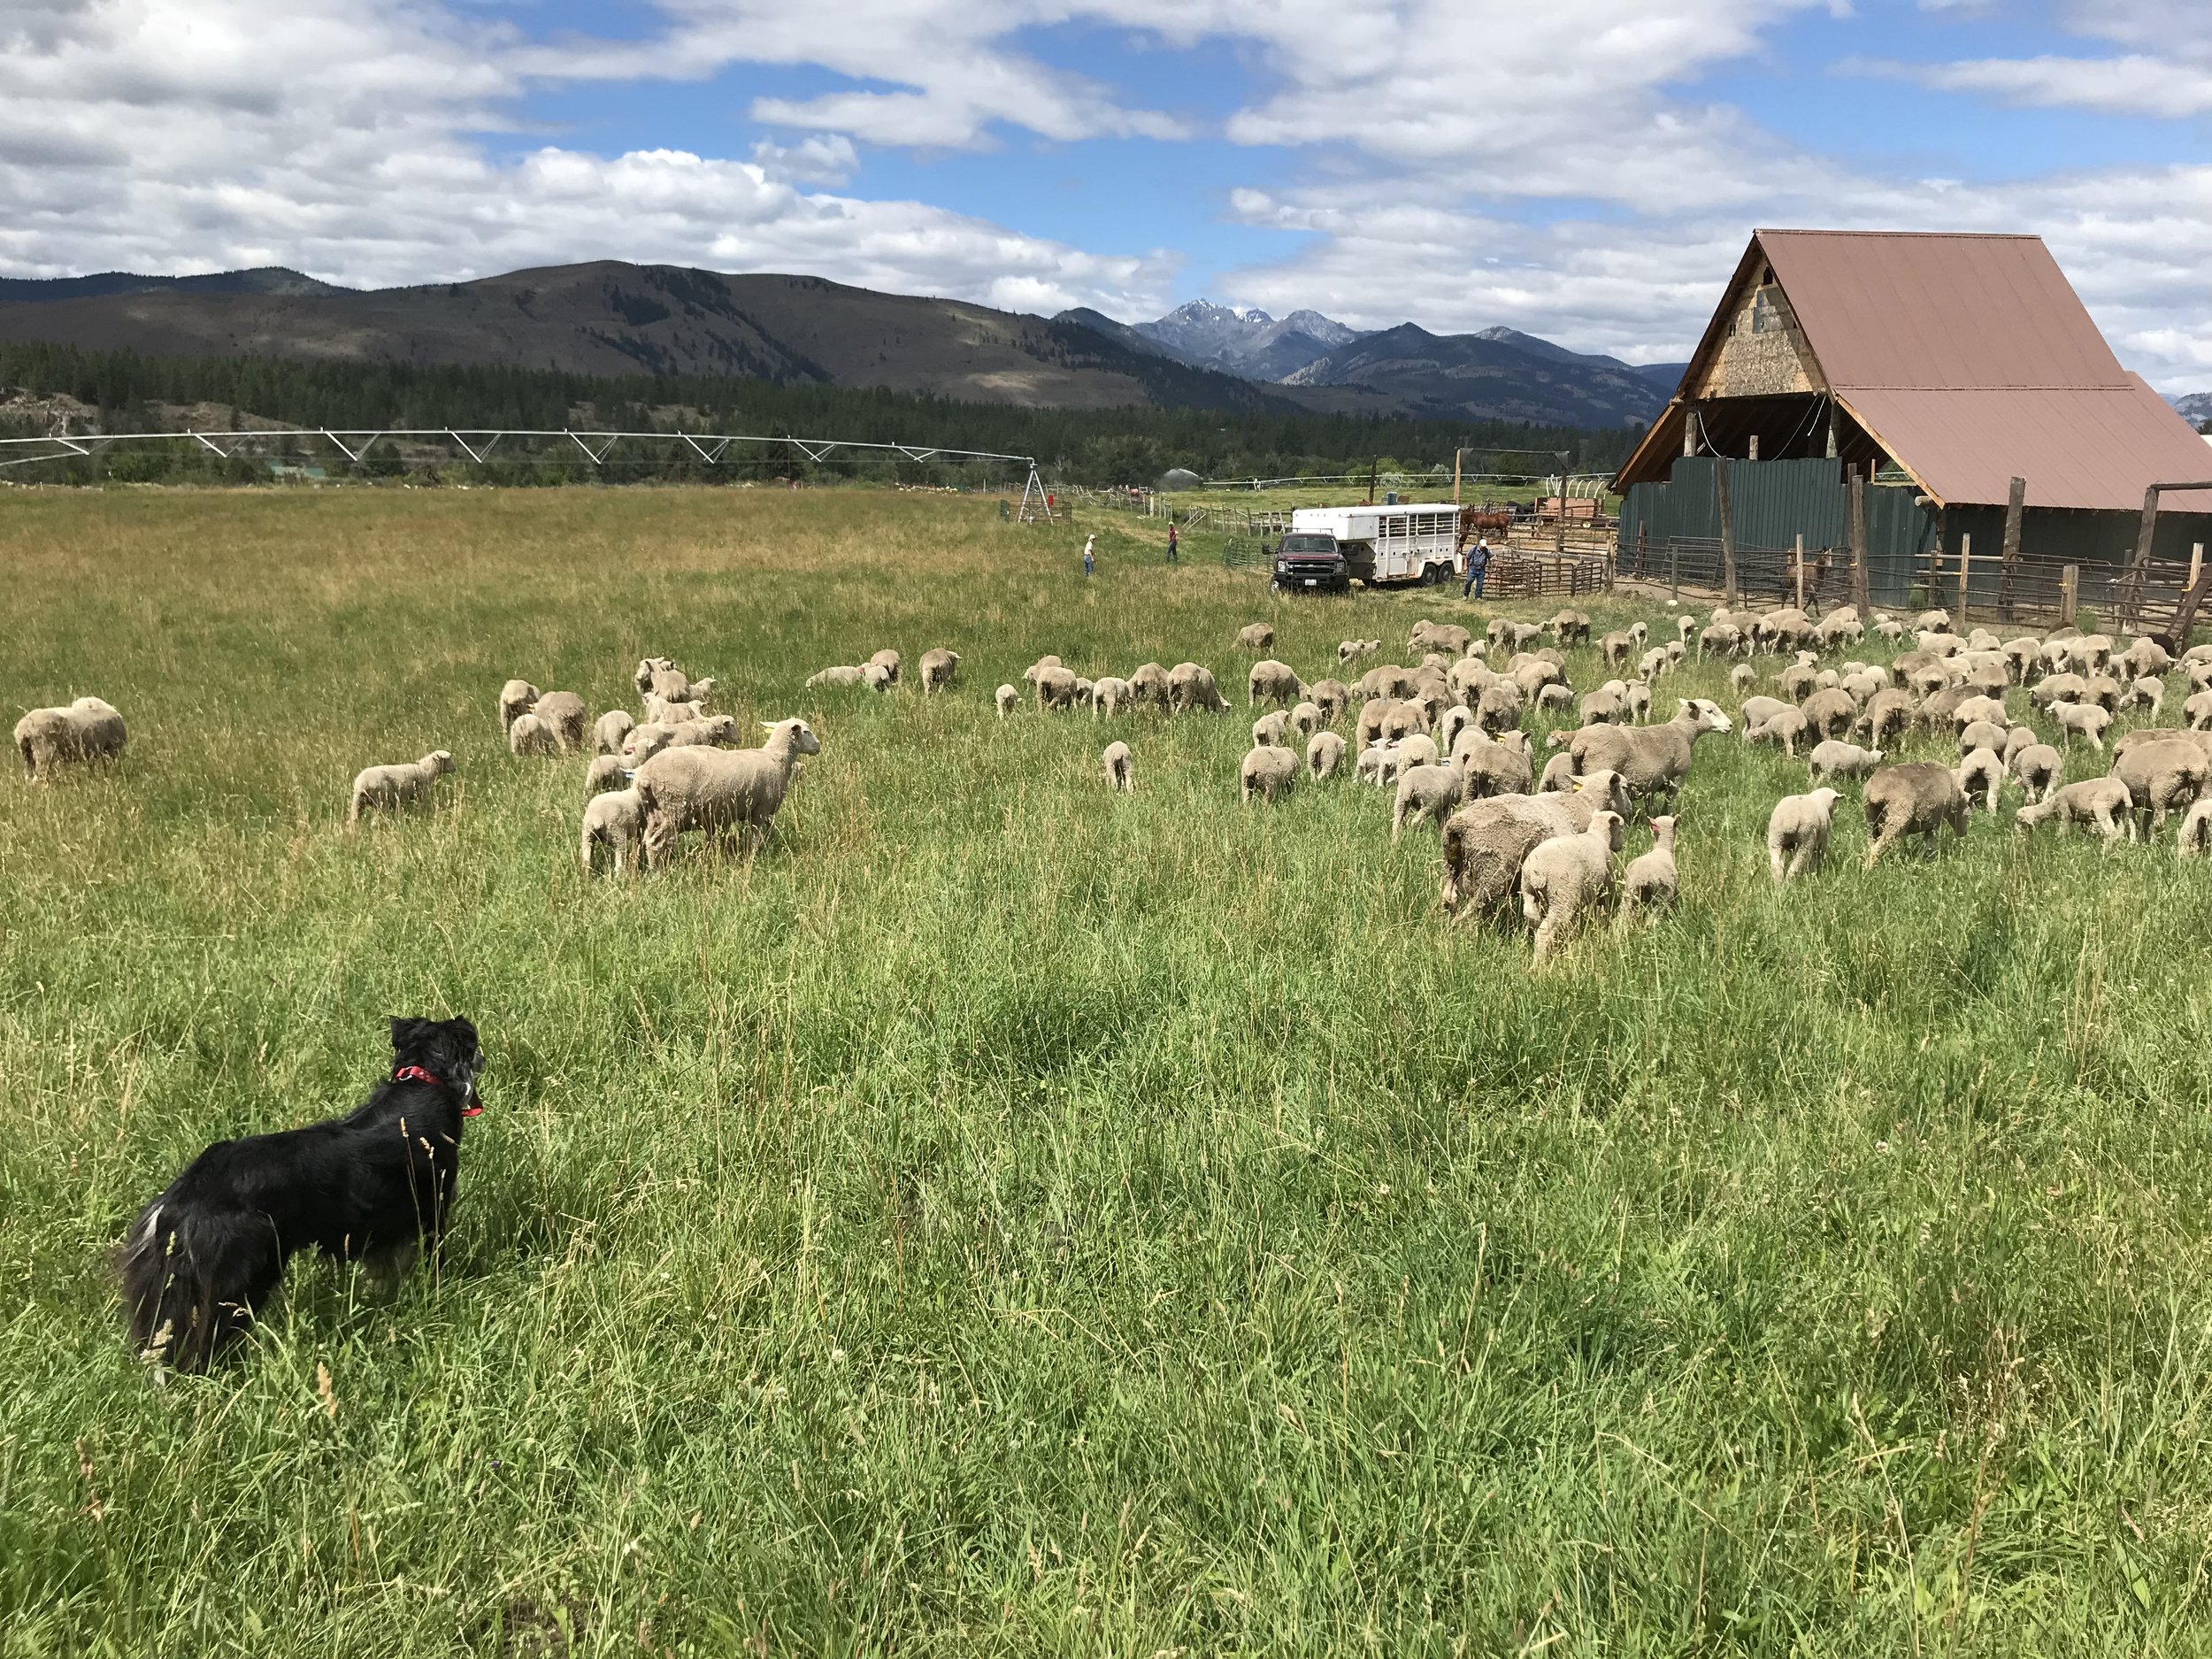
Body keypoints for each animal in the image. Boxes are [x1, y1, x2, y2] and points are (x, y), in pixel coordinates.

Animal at [14, 697, 127, 779]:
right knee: (40, 776)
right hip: (43, 750)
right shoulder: (111, 749)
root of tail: (24, 727)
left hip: (27, 754)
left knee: (30, 775)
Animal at [635, 718, 821, 866]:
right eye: (806, 731)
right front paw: (756, 855)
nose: (819, 746)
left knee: (647, 840)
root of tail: (646, 775)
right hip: (673, 809)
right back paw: (658, 872)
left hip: (653, 812)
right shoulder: (761, 810)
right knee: (656, 843)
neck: (777, 758)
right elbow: (755, 838)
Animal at [1519, 812, 1624, 966]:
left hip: (1528, 890)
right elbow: (1606, 903)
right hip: (1563, 895)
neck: (1599, 836)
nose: (1620, 847)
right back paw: (1540, 964)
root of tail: (1536, 871)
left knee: (1532, 917)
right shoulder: (1607, 880)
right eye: (1621, 829)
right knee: (1545, 931)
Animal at [2015, 778, 2134, 846]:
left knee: (2111, 830)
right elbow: (2085, 831)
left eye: (2020, 821)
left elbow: (2063, 828)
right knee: (2122, 829)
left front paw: (2058, 840)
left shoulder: (2065, 811)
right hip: (2121, 808)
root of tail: (2123, 790)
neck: (2053, 804)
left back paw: (2105, 849)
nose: (2018, 837)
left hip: (2102, 807)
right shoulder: (2084, 819)